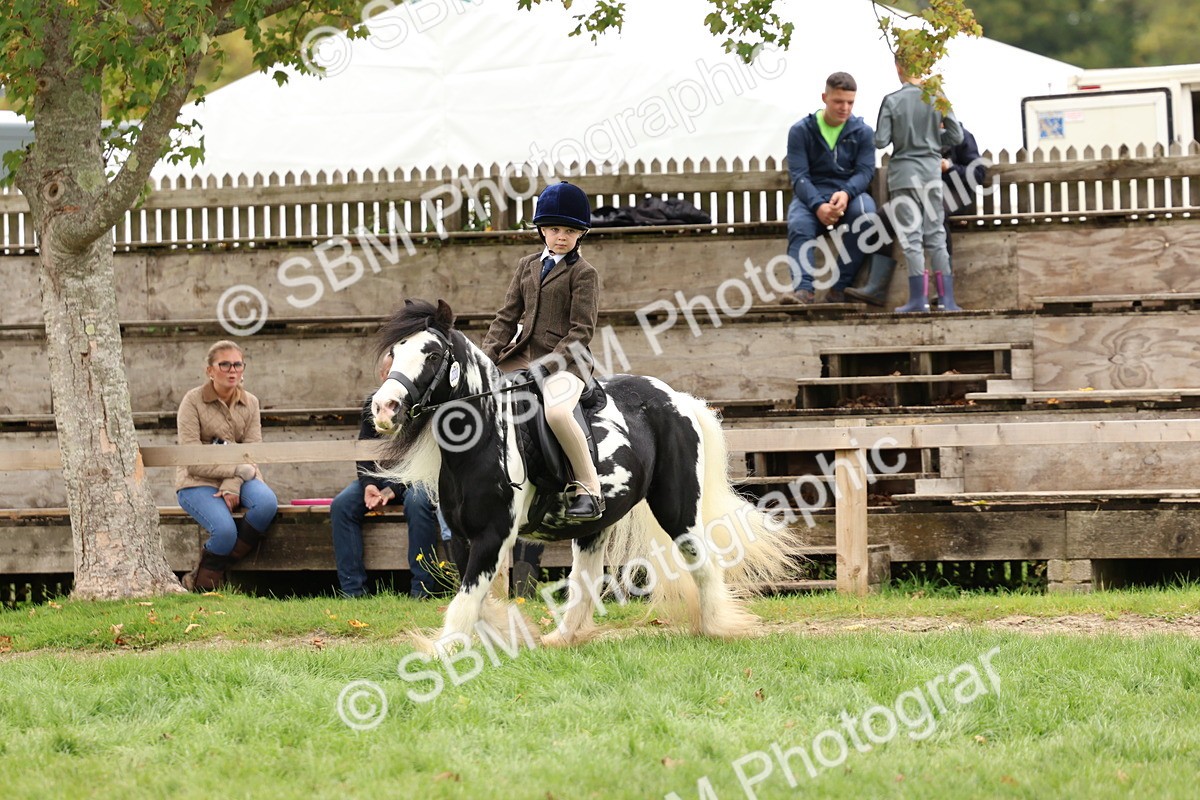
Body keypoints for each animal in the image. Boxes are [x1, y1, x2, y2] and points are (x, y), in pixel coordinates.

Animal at [369, 299, 797, 648]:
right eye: (395, 350)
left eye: (432, 353)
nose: (383, 408)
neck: (485, 437)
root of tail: (678, 399)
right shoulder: (462, 537)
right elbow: (476, 599)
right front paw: (513, 633)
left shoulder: (493, 535)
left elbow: (466, 601)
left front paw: (443, 653)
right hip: (596, 522)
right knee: (587, 579)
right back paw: (562, 637)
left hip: (677, 509)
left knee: (702, 563)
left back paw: (716, 628)